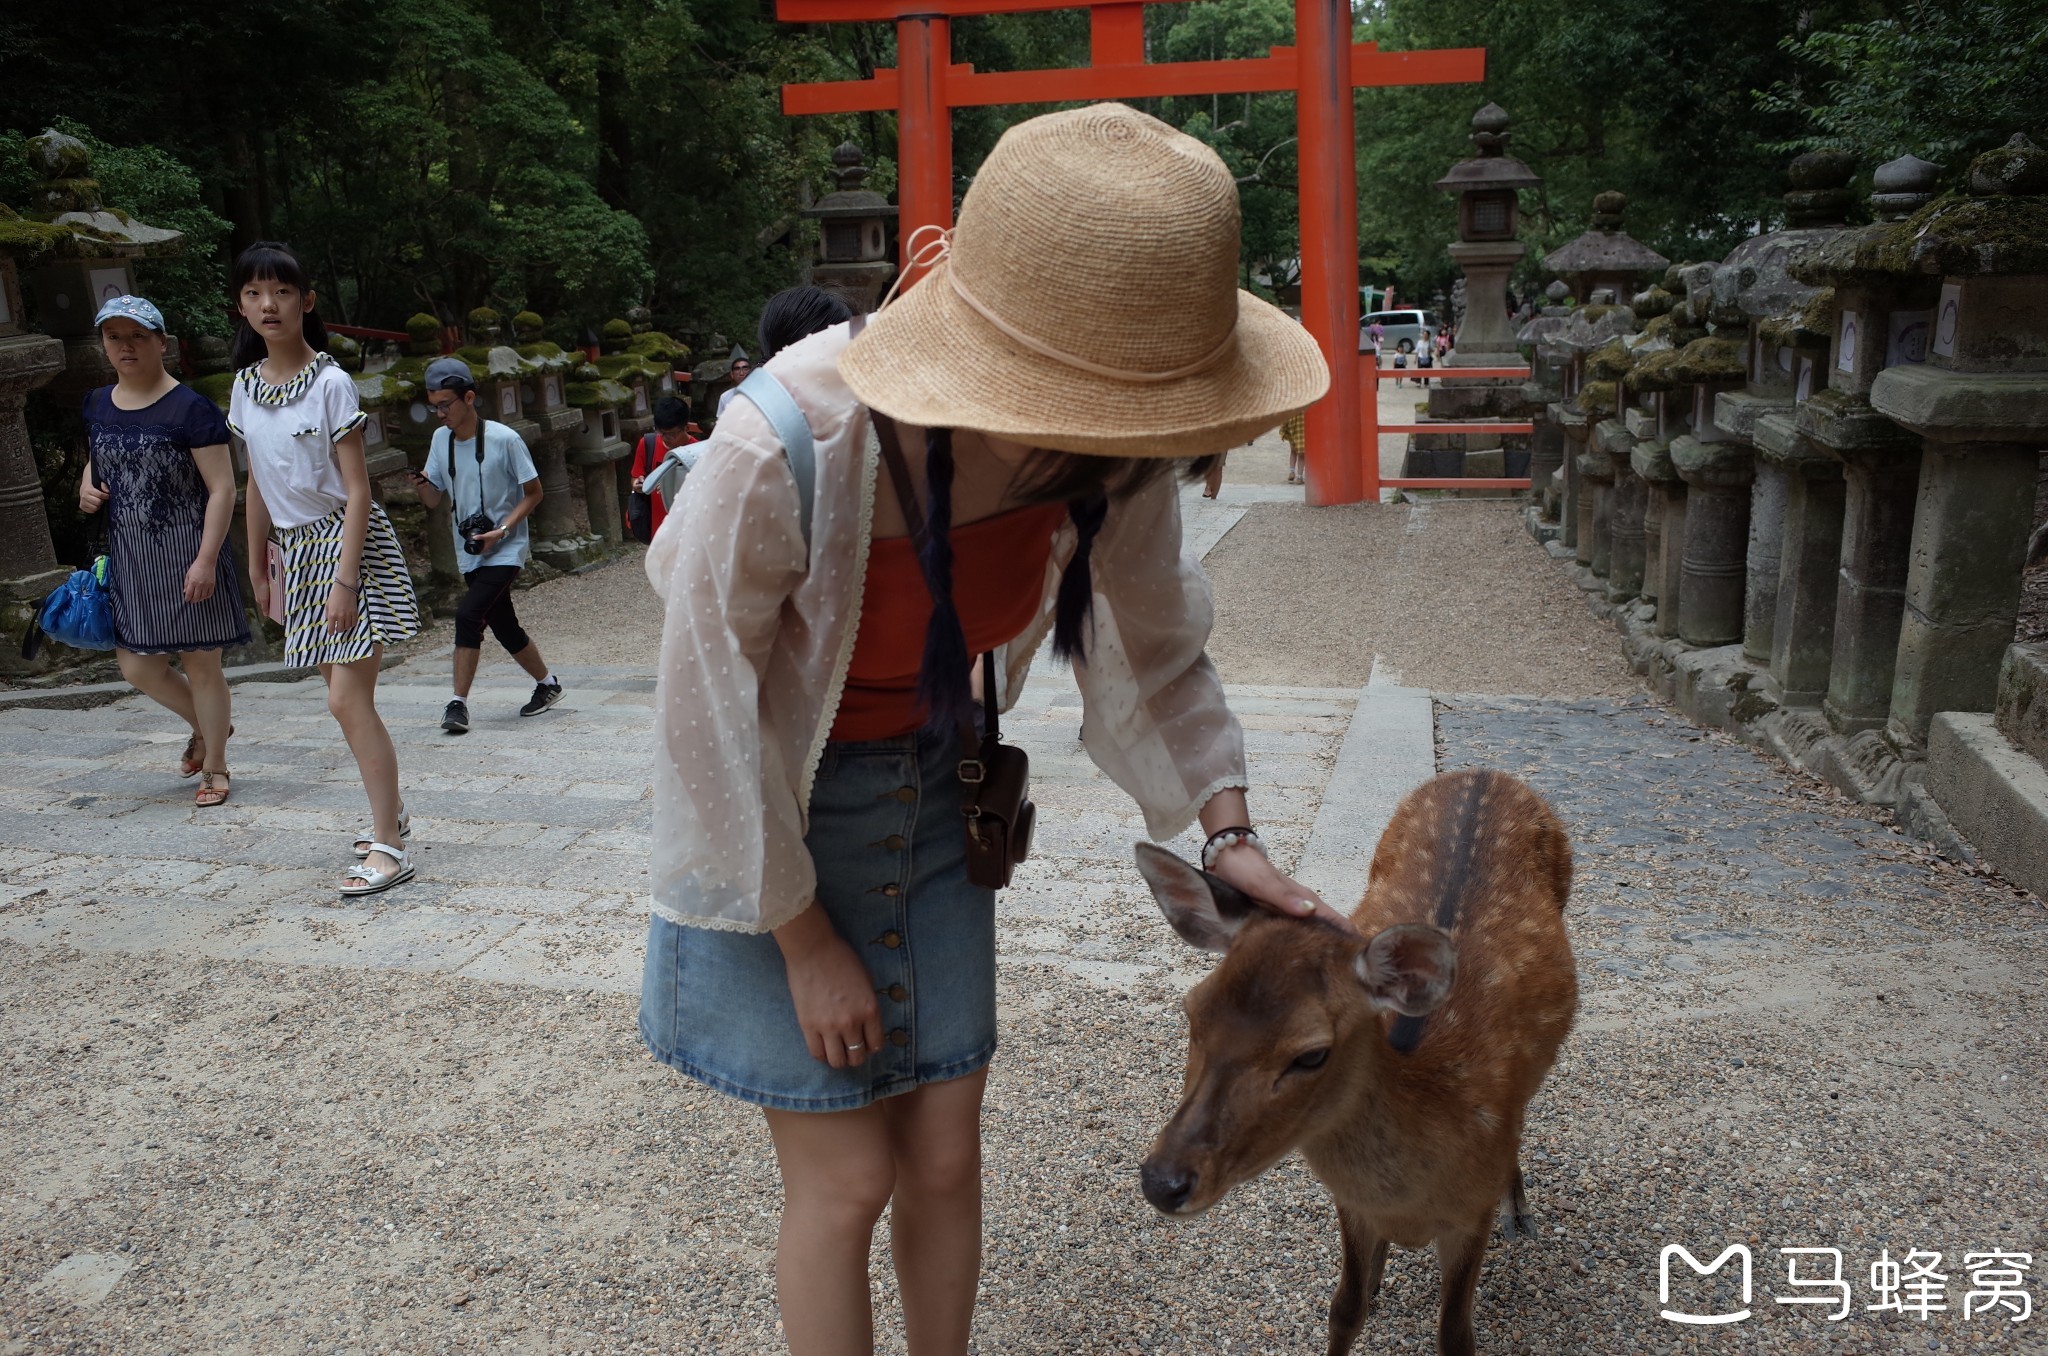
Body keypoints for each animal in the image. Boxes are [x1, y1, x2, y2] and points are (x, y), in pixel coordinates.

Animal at [1130, 770, 1572, 1351]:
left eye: (1312, 1053)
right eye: (1193, 1009)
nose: (1163, 1182)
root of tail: (1483, 772)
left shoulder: (1470, 1215)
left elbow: (1455, 1335)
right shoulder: (1352, 1206)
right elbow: (1345, 1309)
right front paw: (1371, 1283)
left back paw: (1518, 1212)